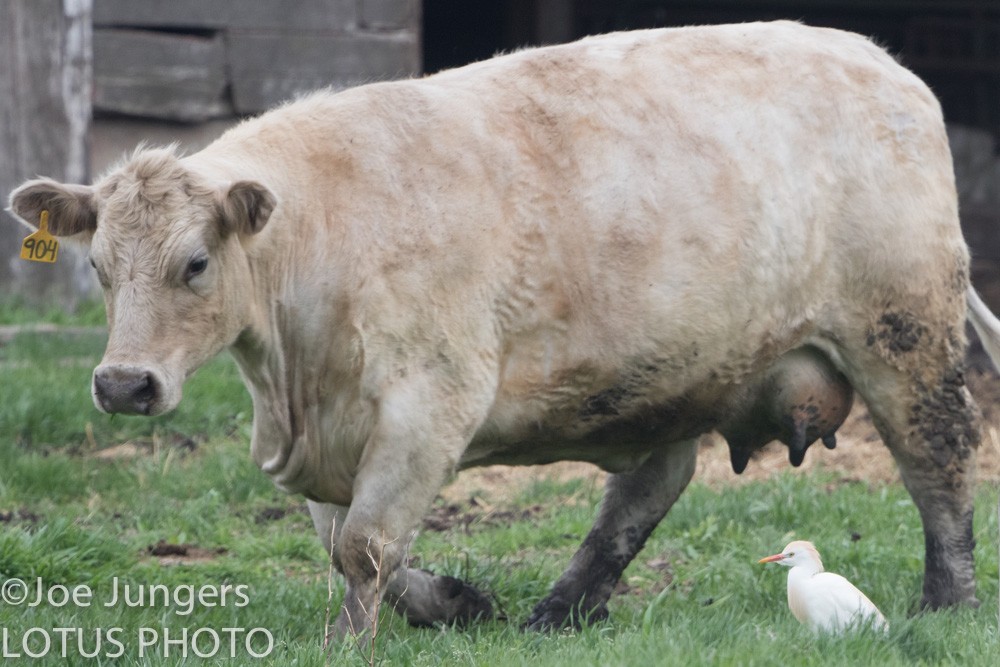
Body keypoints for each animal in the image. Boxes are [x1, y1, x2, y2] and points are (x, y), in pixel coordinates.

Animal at [9, 20, 1000, 636]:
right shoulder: (334, 433)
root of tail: (884, 64)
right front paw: (455, 602)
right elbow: (346, 540)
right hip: (677, 369)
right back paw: (560, 610)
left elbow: (365, 544)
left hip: (902, 330)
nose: (123, 383)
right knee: (646, 488)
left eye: (196, 264)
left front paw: (348, 640)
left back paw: (946, 602)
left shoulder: (430, 402)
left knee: (939, 462)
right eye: (98, 268)